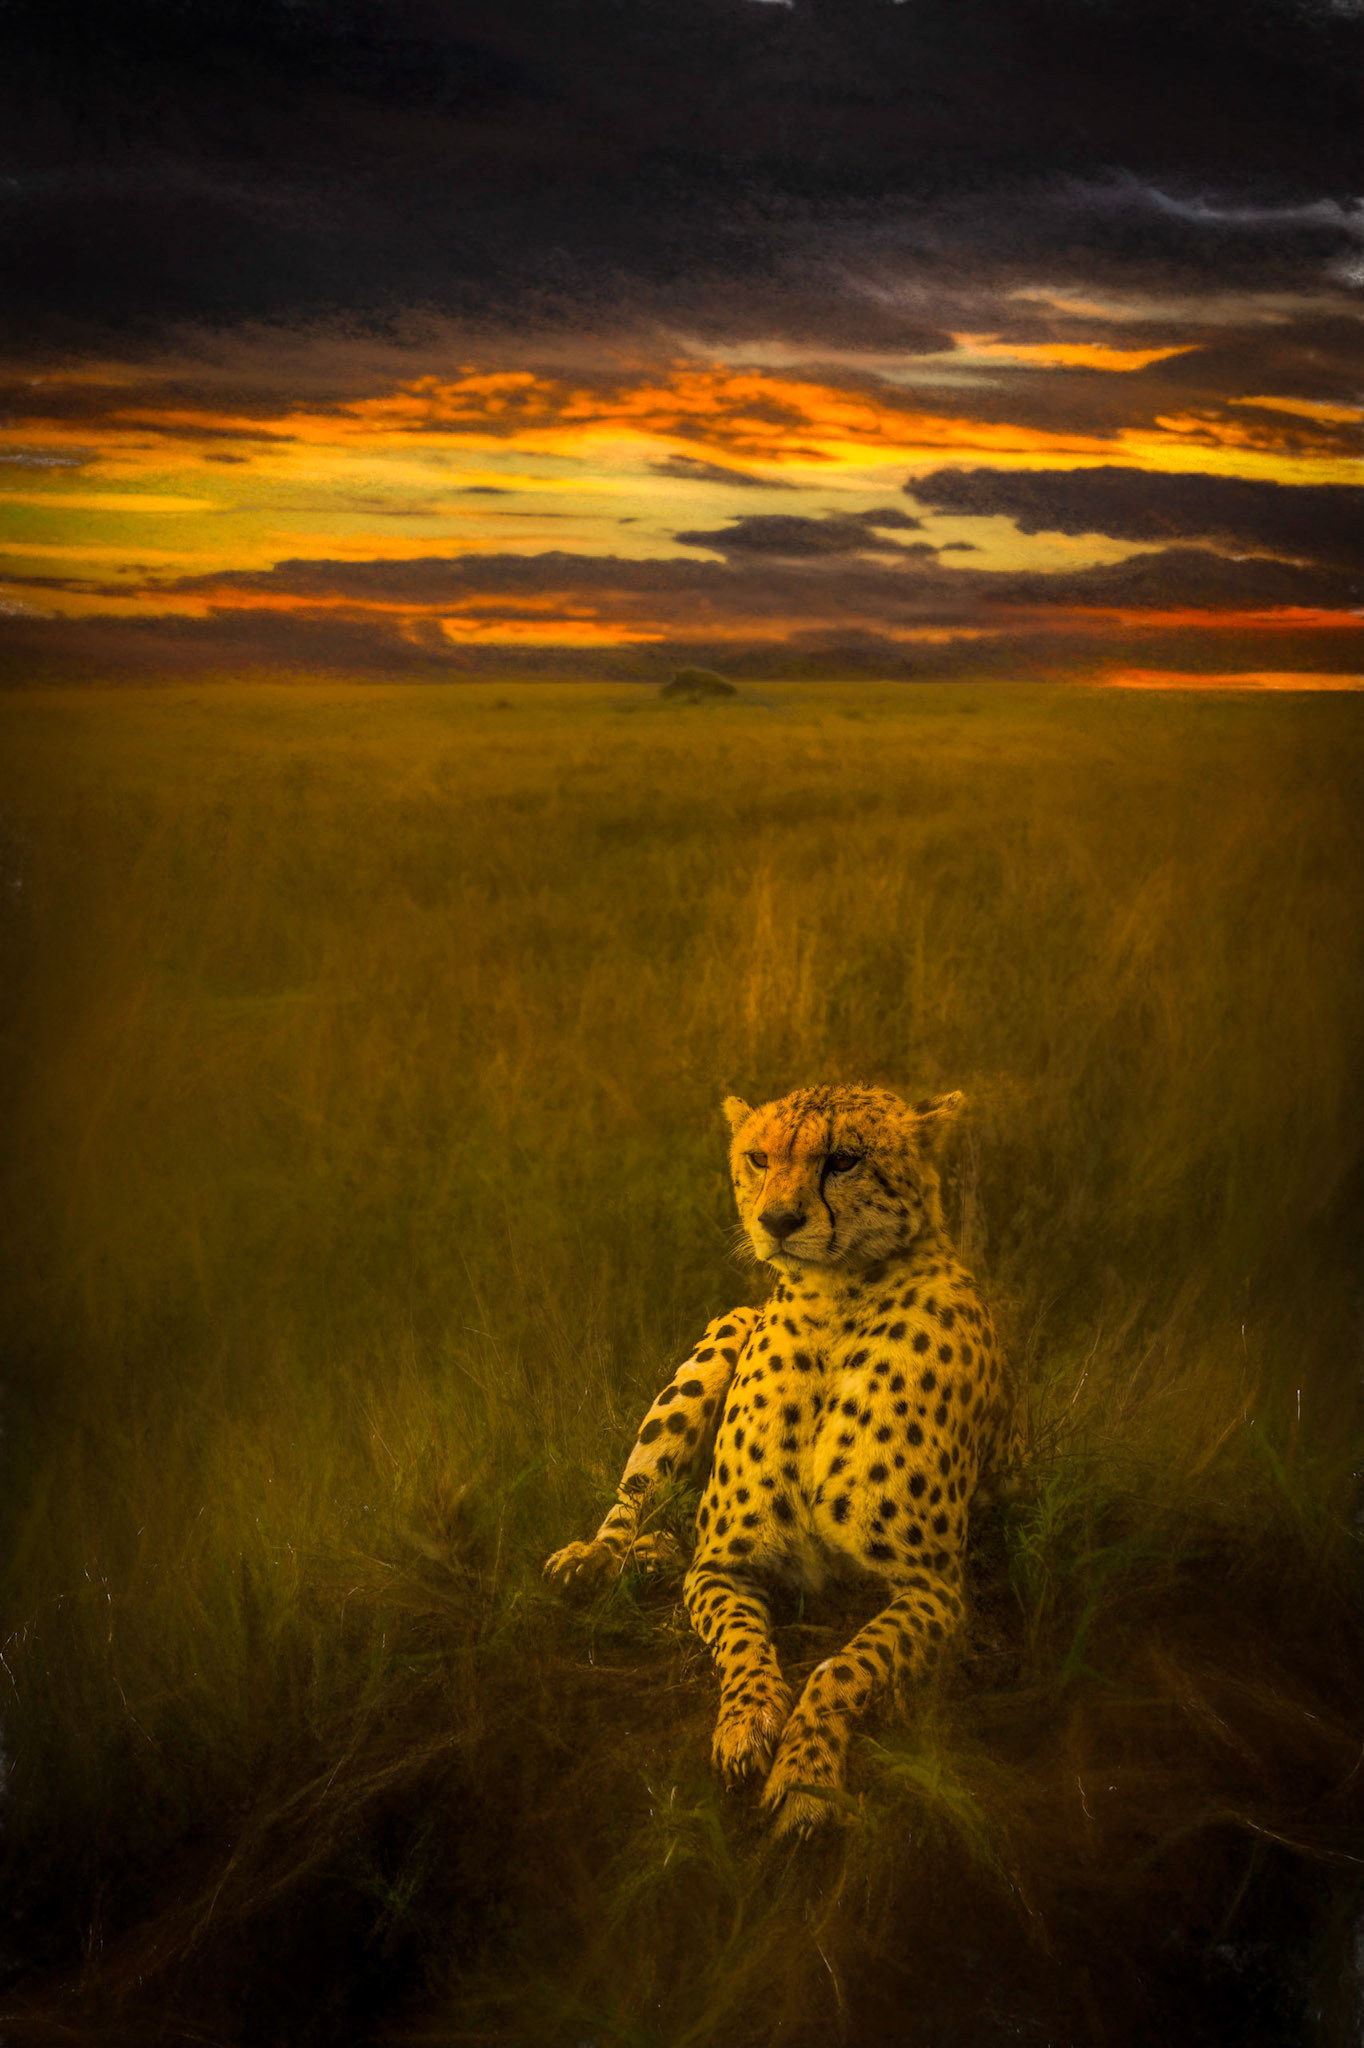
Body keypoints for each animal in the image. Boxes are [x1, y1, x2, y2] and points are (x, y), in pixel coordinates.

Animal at [544, 1084, 1019, 1837]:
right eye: (759, 1158)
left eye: (845, 1159)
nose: (778, 1220)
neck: (836, 1302)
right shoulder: (721, 1566)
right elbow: (740, 1639)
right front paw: (747, 1723)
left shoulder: (934, 1590)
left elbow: (843, 1667)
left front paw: (806, 1777)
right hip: (727, 1330)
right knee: (636, 1497)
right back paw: (605, 1554)